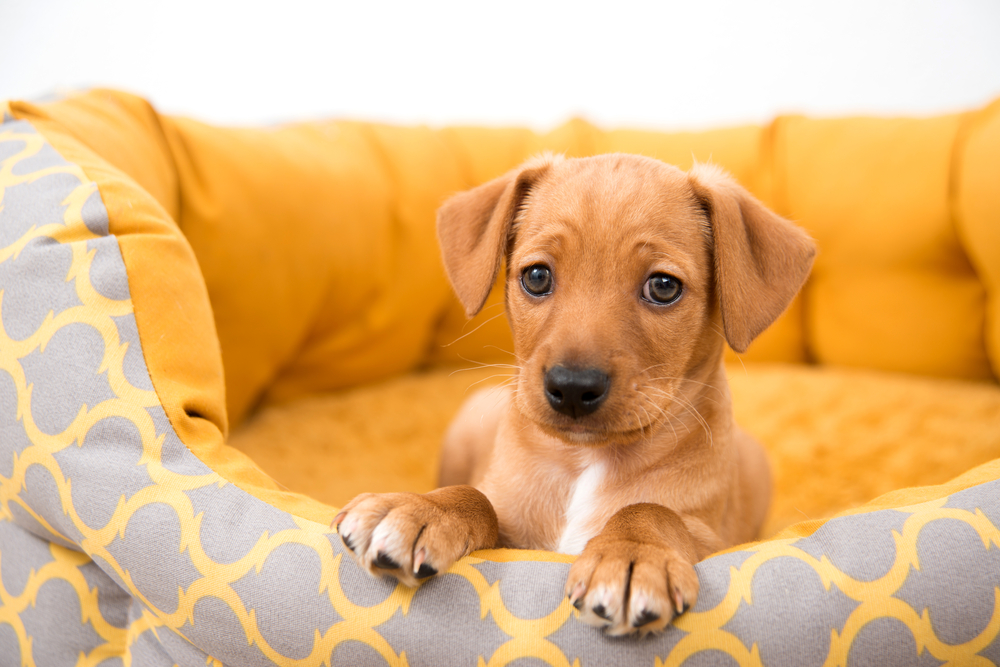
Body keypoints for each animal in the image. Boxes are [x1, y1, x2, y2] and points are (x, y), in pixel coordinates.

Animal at [332, 153, 816, 636]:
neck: (586, 463)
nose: (572, 386)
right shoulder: (512, 526)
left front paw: (633, 552)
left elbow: (653, 511)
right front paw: (421, 510)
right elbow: (476, 497)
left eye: (663, 286)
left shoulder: (714, 539)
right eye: (537, 276)